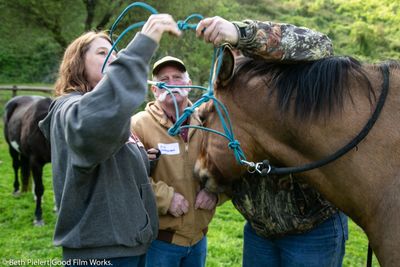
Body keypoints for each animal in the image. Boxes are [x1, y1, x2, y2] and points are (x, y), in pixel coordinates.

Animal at [3, 96, 51, 226]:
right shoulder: (35, 161)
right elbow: (39, 189)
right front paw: (38, 217)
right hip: (12, 148)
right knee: (16, 166)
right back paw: (16, 190)